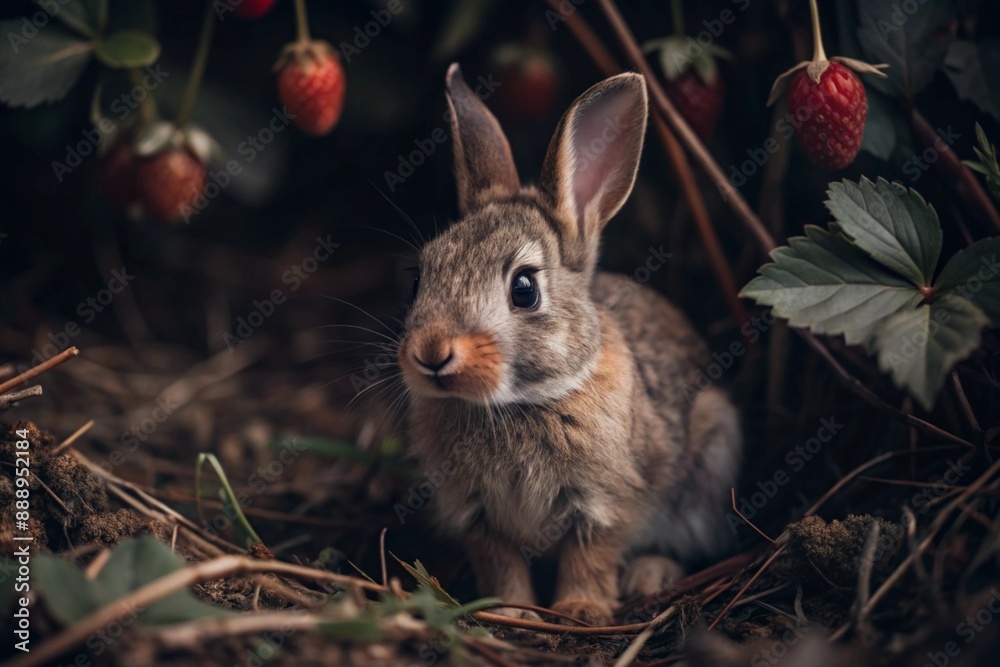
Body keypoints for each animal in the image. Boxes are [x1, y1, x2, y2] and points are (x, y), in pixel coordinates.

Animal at [396, 63, 742, 626]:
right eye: (421, 277)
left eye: (524, 289)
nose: (431, 355)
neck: (516, 404)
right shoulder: (475, 515)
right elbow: (501, 563)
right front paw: (514, 613)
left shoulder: (606, 501)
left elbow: (591, 555)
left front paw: (580, 610)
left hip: (709, 465)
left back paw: (649, 575)